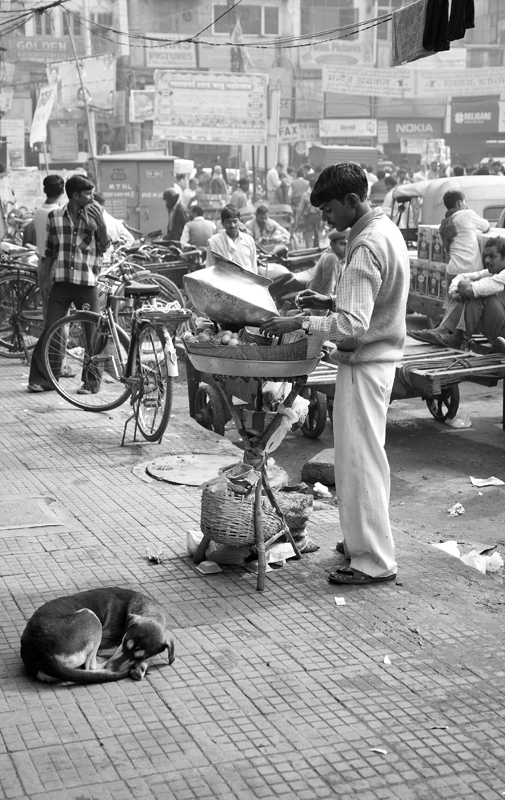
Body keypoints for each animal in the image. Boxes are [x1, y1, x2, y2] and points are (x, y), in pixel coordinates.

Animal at [20, 584, 174, 684]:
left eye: (139, 655)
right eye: (124, 643)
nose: (112, 667)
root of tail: (41, 654)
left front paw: (141, 665)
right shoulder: (107, 642)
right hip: (91, 616)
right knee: (91, 666)